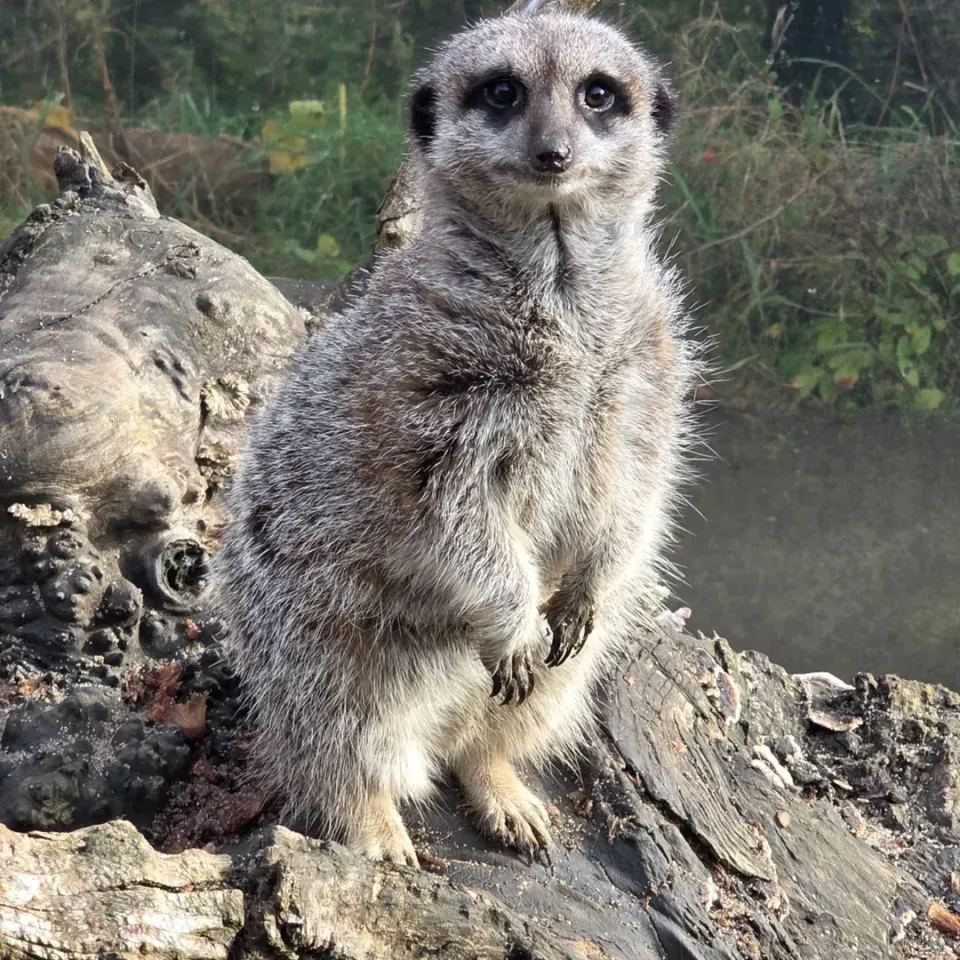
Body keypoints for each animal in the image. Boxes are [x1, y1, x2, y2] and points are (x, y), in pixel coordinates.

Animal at [212, 7, 703, 868]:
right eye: (502, 91)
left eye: (599, 93)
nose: (554, 152)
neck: (563, 291)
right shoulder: (426, 387)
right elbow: (448, 506)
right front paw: (511, 622)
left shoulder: (649, 366)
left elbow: (642, 480)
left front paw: (588, 587)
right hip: (316, 641)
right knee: (338, 735)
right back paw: (375, 826)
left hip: (564, 672)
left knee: (524, 704)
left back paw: (500, 781)